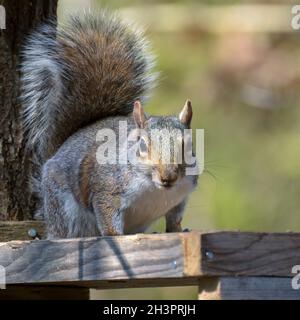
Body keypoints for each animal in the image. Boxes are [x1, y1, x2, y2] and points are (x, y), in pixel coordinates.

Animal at [21, 11, 199, 239]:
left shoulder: (180, 197)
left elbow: (174, 218)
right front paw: (114, 235)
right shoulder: (107, 188)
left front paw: (178, 230)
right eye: (142, 145)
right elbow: (106, 213)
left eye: (188, 146)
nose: (167, 177)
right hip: (61, 208)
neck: (155, 189)